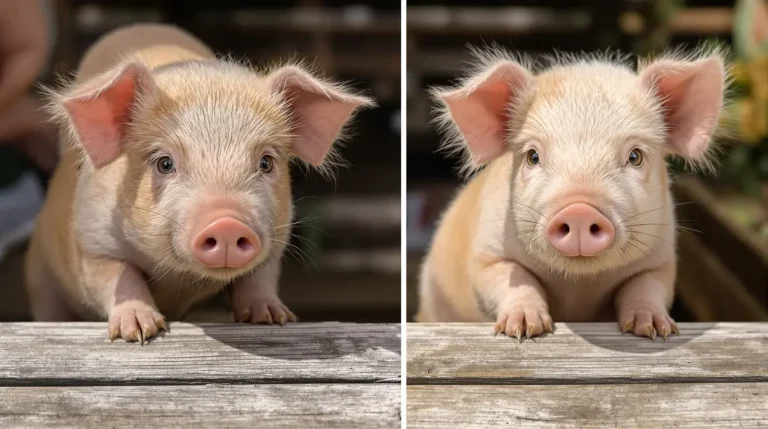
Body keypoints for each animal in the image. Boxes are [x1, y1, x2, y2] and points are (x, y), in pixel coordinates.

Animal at [23, 23, 375, 343]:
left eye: (265, 162)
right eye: (165, 163)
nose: (227, 222)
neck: (181, 283)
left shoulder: (277, 237)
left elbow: (260, 277)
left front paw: (274, 318)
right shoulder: (92, 239)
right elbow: (117, 277)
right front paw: (139, 332)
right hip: (40, 280)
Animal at [416, 45, 729, 340]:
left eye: (635, 156)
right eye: (532, 156)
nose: (579, 209)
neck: (579, 288)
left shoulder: (662, 260)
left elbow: (646, 286)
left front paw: (655, 329)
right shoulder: (485, 254)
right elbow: (513, 277)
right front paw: (524, 329)